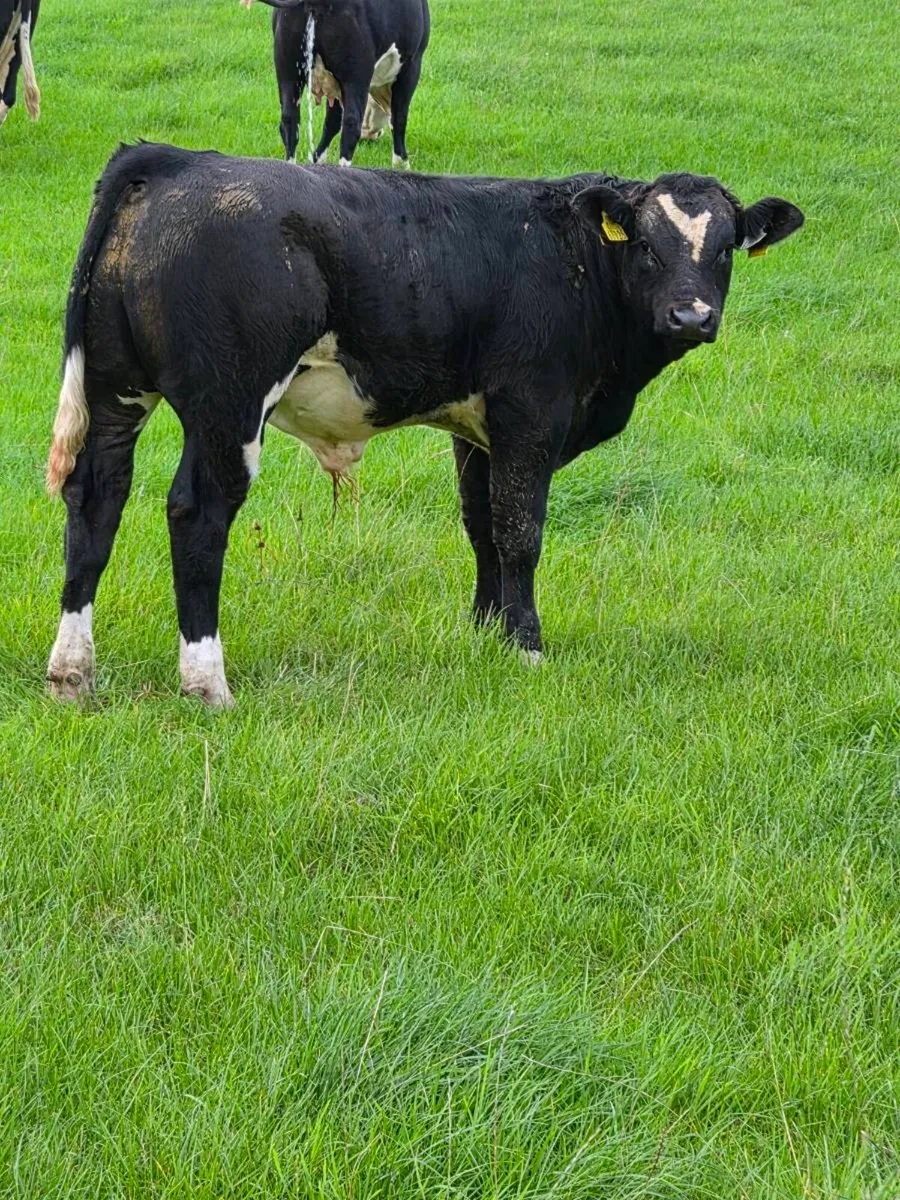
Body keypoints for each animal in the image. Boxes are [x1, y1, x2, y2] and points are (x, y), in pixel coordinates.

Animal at [45, 143, 803, 707]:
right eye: (646, 244)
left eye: (725, 248)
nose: (691, 316)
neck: (577, 263)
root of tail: (177, 159)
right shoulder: (530, 412)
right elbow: (519, 531)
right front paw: (528, 648)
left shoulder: (475, 427)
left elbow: (481, 526)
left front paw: (489, 632)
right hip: (228, 404)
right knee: (197, 514)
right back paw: (207, 682)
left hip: (114, 390)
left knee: (96, 501)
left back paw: (73, 673)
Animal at [240, 0, 430, 168]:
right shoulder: (411, 66)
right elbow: (399, 117)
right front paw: (401, 165)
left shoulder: (335, 87)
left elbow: (331, 121)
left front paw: (317, 161)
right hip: (356, 73)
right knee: (351, 125)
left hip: (287, 69)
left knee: (289, 121)